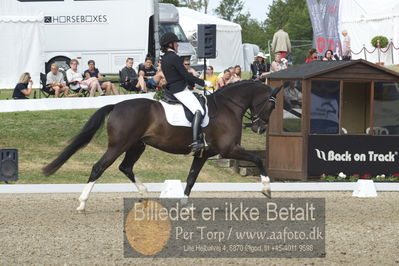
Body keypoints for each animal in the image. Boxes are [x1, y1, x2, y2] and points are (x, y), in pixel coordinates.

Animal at [43, 80, 284, 211]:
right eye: (271, 106)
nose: (259, 128)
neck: (227, 107)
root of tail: (116, 105)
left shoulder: (204, 154)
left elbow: (191, 178)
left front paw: (185, 205)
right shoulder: (229, 149)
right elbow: (257, 159)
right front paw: (267, 188)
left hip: (136, 146)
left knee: (125, 167)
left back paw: (144, 193)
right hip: (119, 145)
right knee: (98, 167)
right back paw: (82, 203)